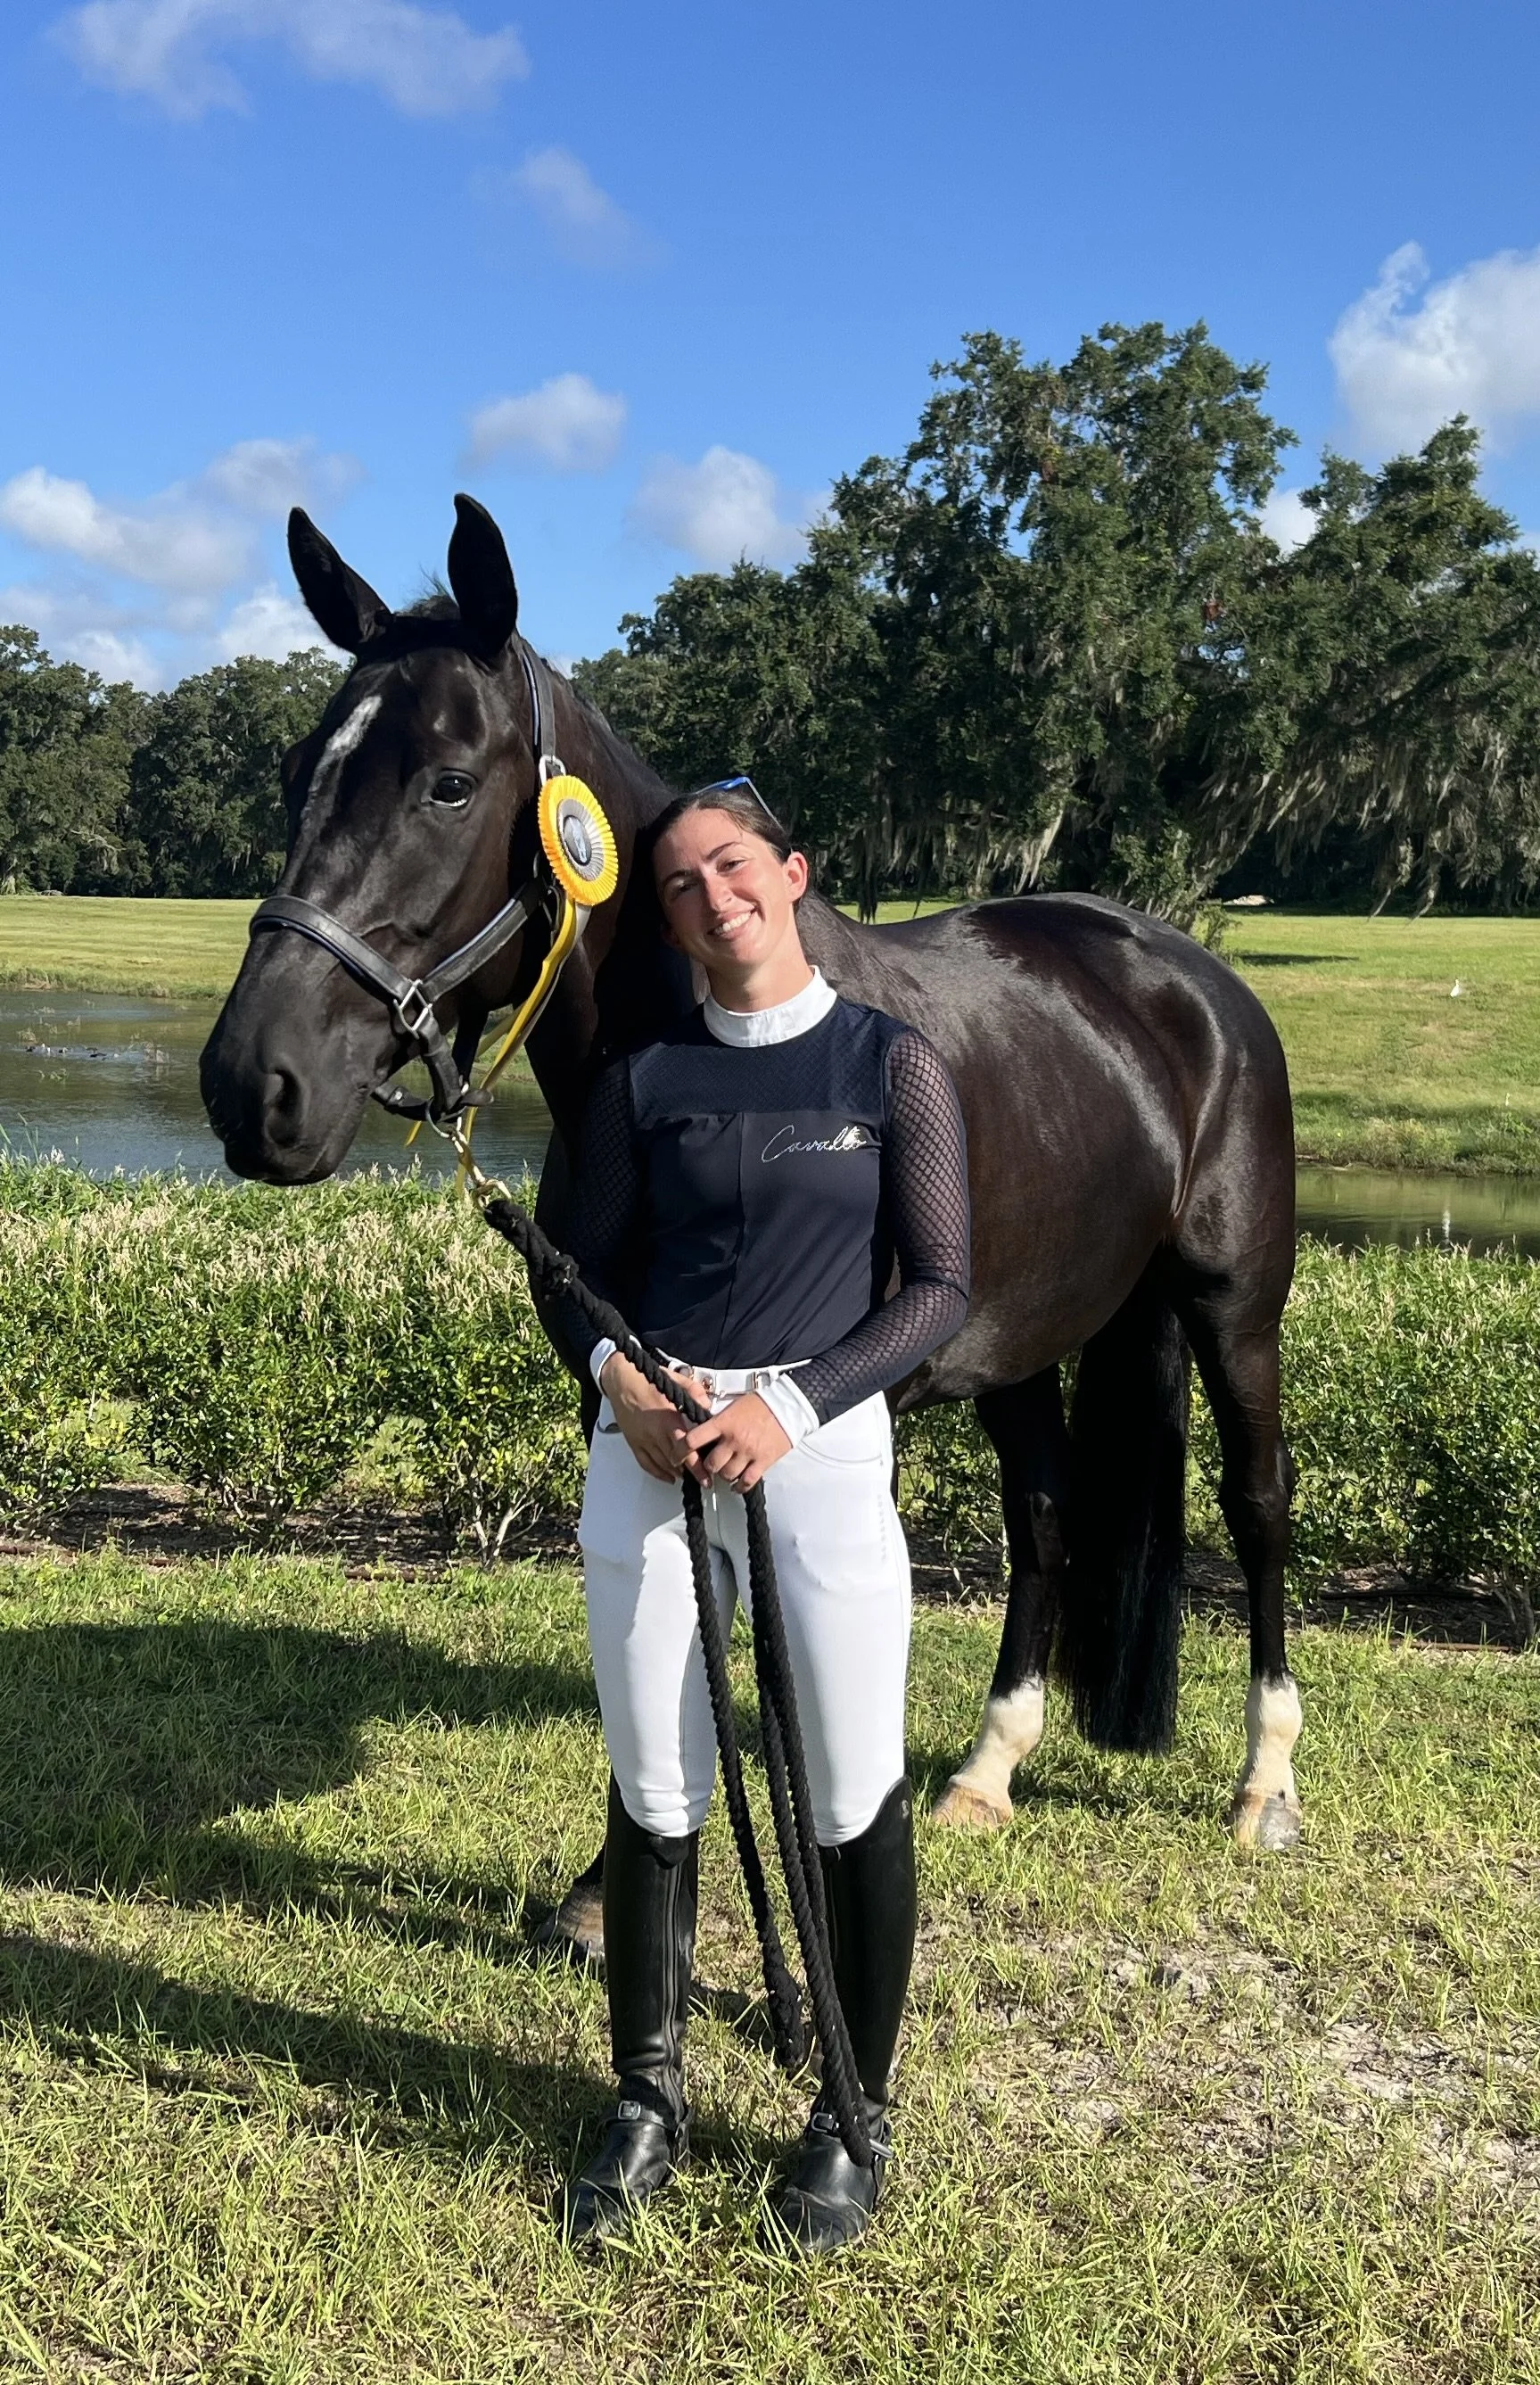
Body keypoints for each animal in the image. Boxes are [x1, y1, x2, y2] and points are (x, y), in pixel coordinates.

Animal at [200, 495, 1305, 1954]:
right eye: (295, 776)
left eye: (445, 782)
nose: (250, 1085)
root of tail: (1183, 970)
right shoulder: (634, 1384)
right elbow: (672, 1611)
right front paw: (610, 1888)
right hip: (1014, 1339)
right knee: (1045, 1513)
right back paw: (986, 1770)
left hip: (1231, 1309)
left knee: (1255, 1501)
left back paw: (1263, 1784)